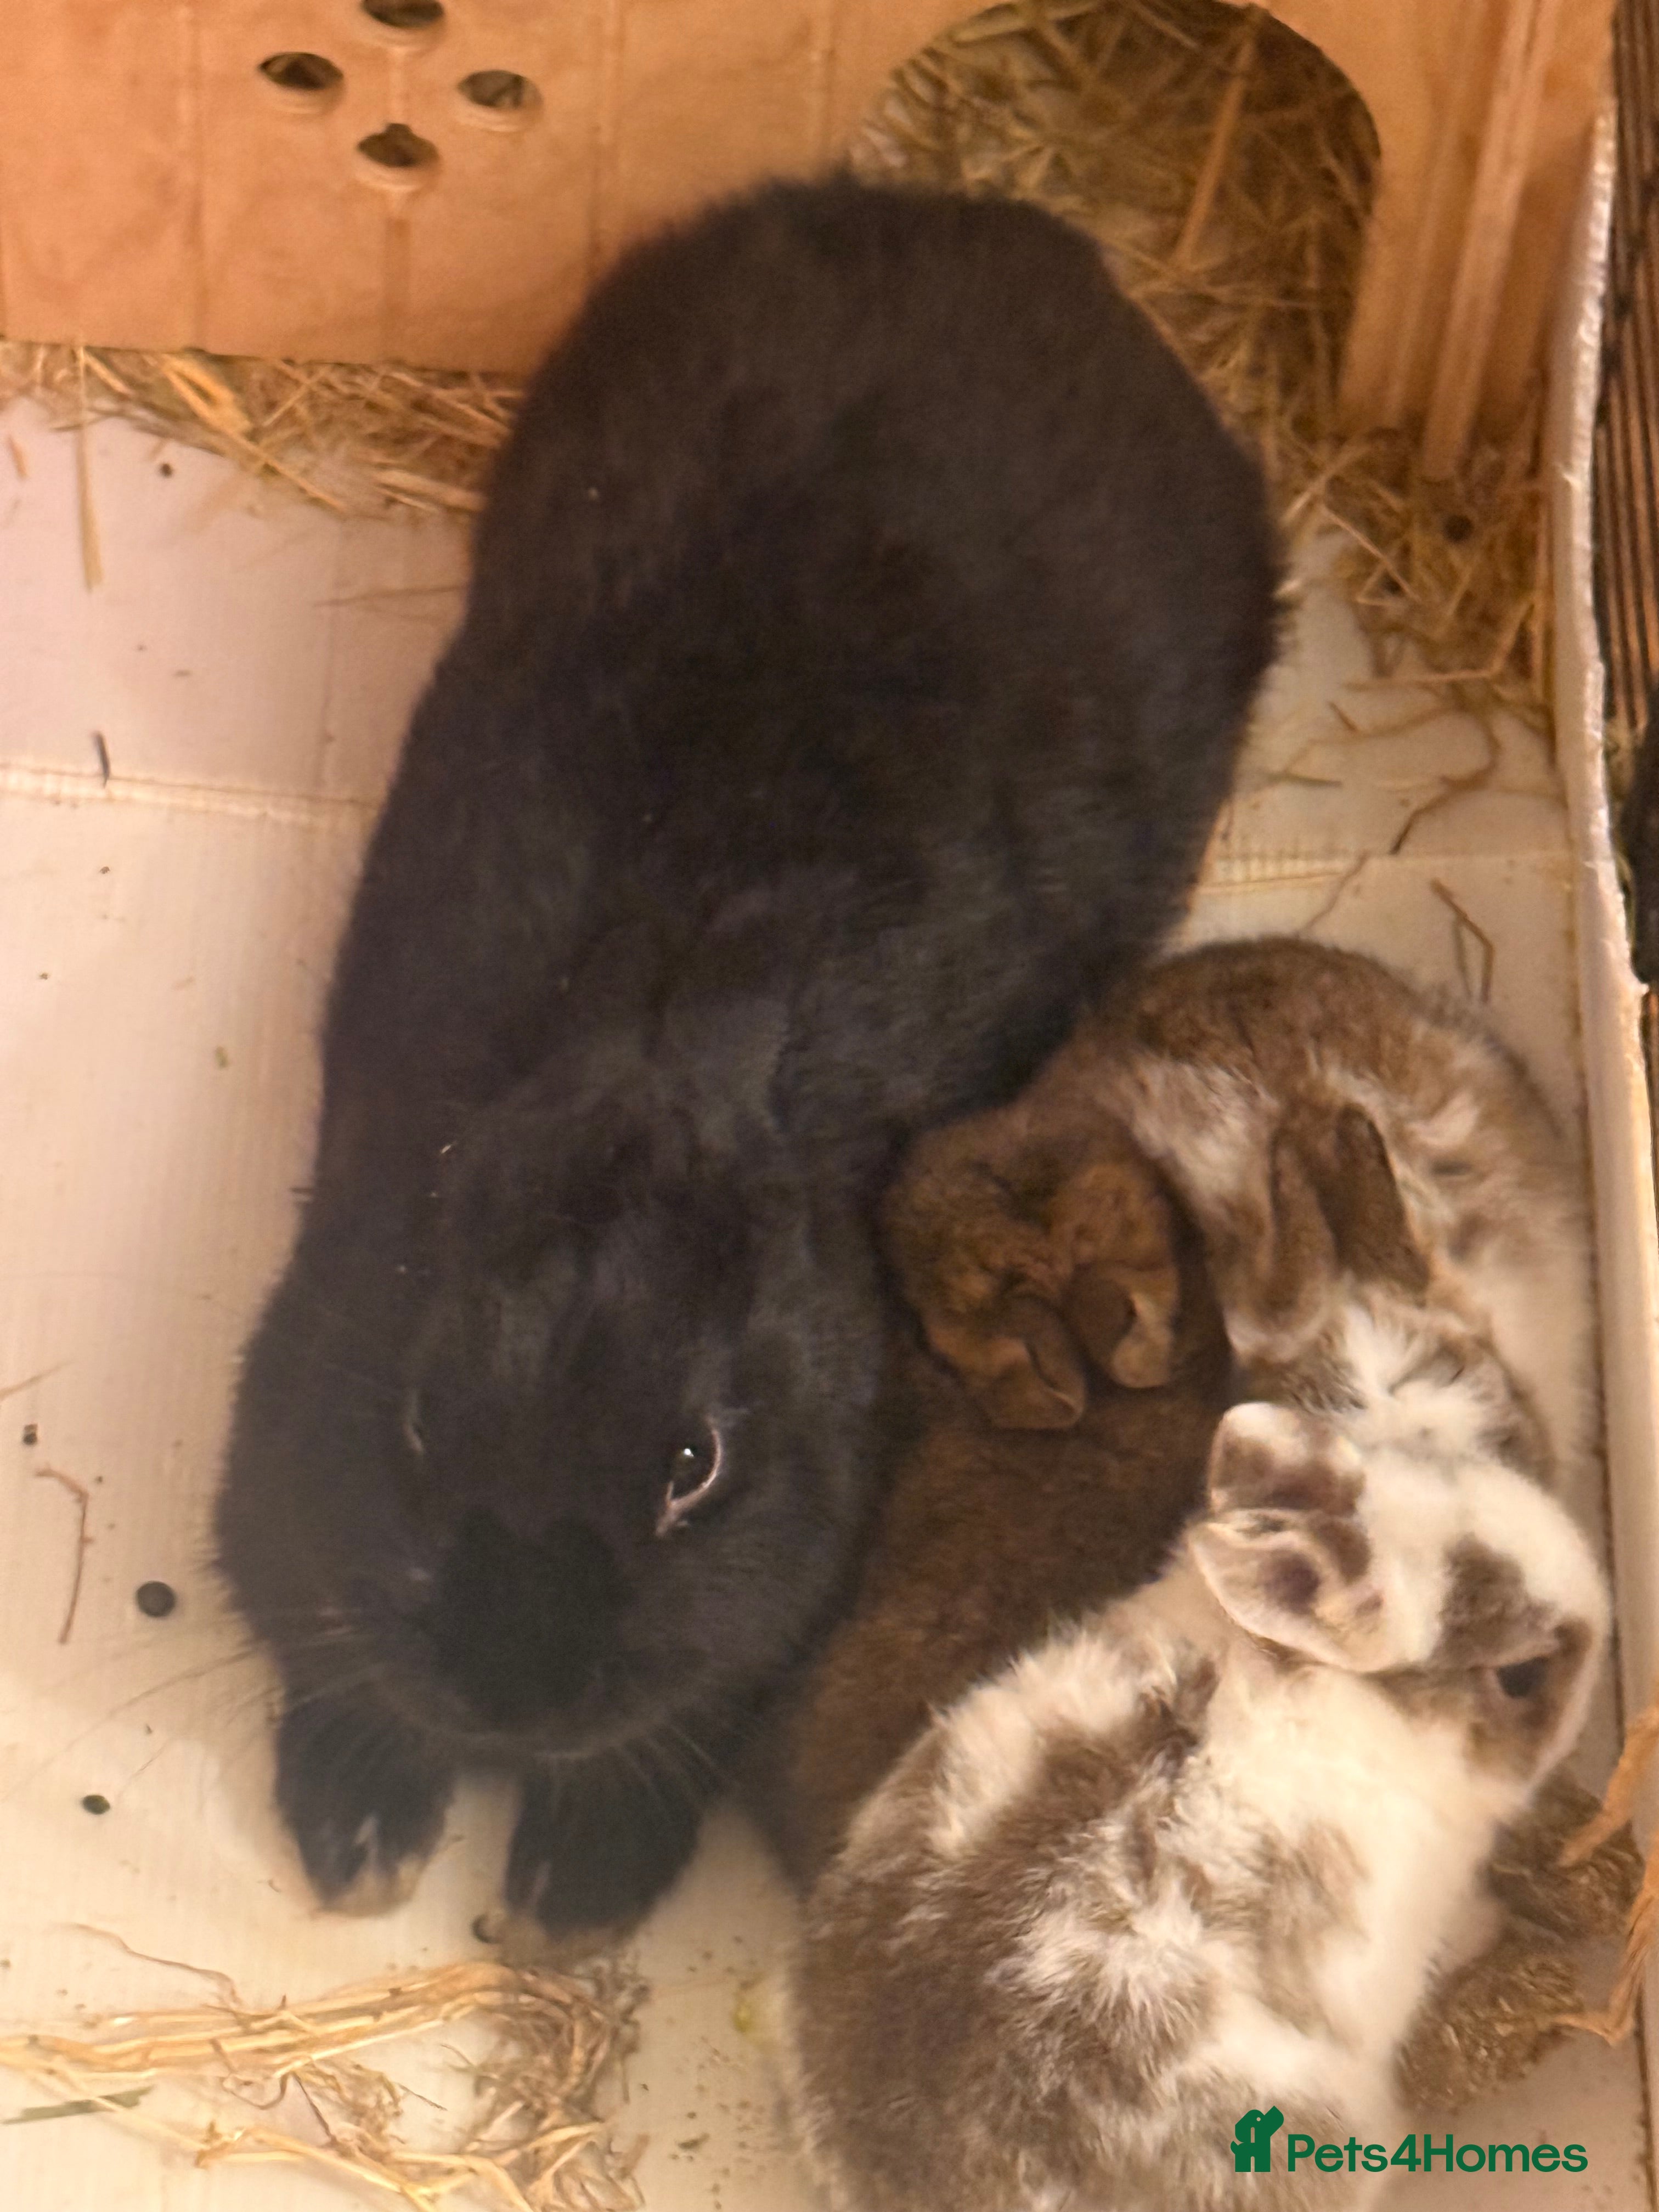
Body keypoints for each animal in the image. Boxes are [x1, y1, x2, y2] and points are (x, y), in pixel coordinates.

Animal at [213, 174, 1280, 1944]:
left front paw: (575, 1881)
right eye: (421, 1421)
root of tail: (994, 231)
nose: (515, 1688)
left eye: (695, 1466)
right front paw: (362, 1826)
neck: (652, 1036)